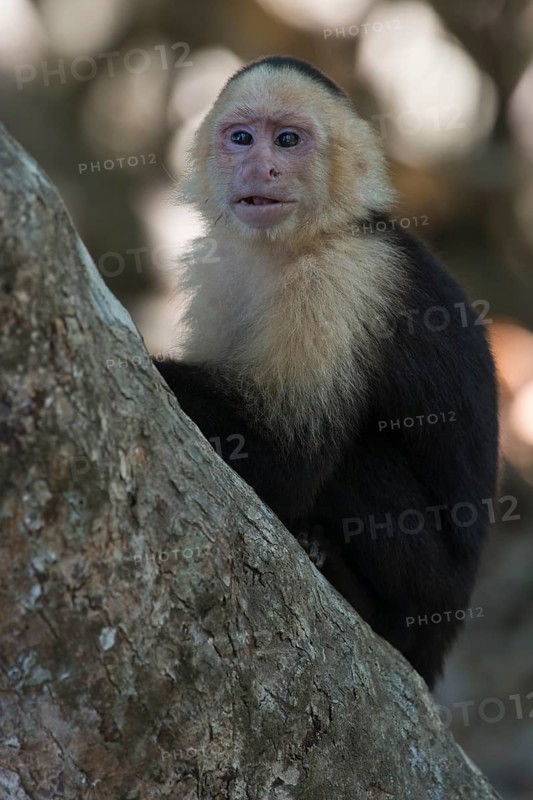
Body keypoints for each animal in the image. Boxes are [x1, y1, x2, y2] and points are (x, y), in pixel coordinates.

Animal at [153, 55, 499, 689]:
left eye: (288, 141)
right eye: (242, 138)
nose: (260, 166)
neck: (295, 243)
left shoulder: (340, 281)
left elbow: (286, 458)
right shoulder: (220, 273)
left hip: (435, 592)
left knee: (358, 460)